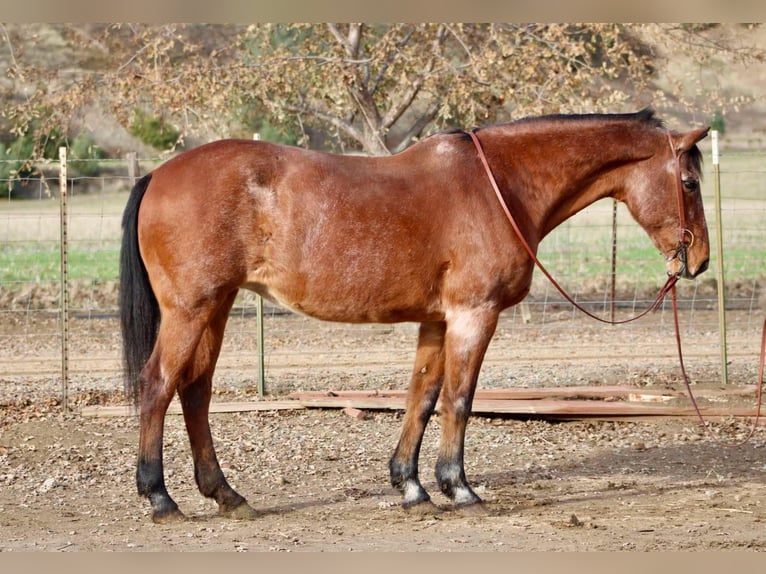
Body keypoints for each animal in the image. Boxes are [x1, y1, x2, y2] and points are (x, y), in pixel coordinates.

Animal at [120, 107, 712, 520]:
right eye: (689, 182)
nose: (700, 260)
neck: (499, 186)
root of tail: (158, 176)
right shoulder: (474, 315)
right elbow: (459, 400)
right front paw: (460, 487)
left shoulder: (437, 320)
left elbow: (421, 399)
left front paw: (411, 485)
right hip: (191, 311)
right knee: (158, 385)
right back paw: (159, 498)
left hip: (215, 308)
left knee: (195, 392)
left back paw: (226, 494)